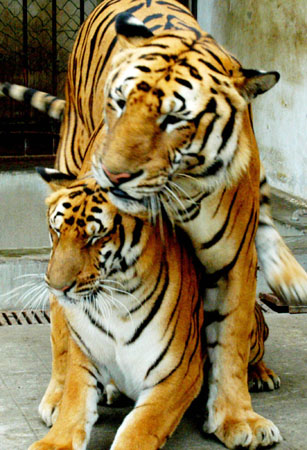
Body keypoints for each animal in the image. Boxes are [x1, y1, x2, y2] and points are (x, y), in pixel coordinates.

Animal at [28, 168, 282, 450]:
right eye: (56, 231)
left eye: (96, 237)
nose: (56, 286)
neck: (114, 303)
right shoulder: (85, 356)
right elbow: (73, 407)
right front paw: (55, 443)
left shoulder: (177, 373)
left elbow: (139, 427)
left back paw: (261, 375)